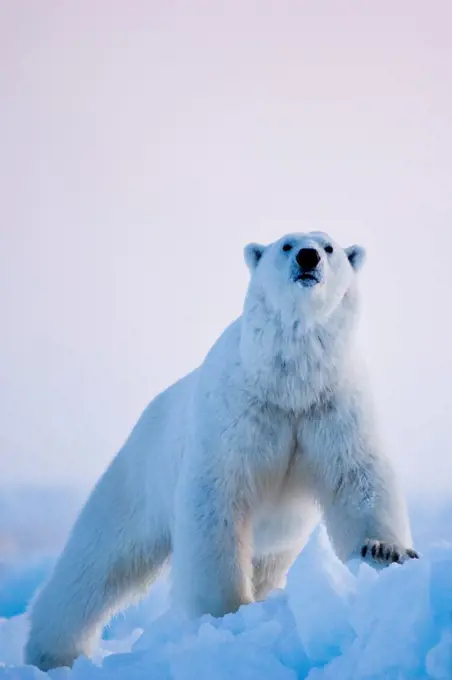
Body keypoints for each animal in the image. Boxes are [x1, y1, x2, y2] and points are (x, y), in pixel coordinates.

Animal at [24, 232, 416, 668]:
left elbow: (358, 476)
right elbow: (218, 498)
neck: (289, 383)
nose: (308, 257)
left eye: (329, 247)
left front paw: (383, 551)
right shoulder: (237, 412)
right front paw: (226, 609)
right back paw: (53, 652)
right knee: (98, 560)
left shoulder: (334, 404)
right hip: (140, 474)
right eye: (286, 244)